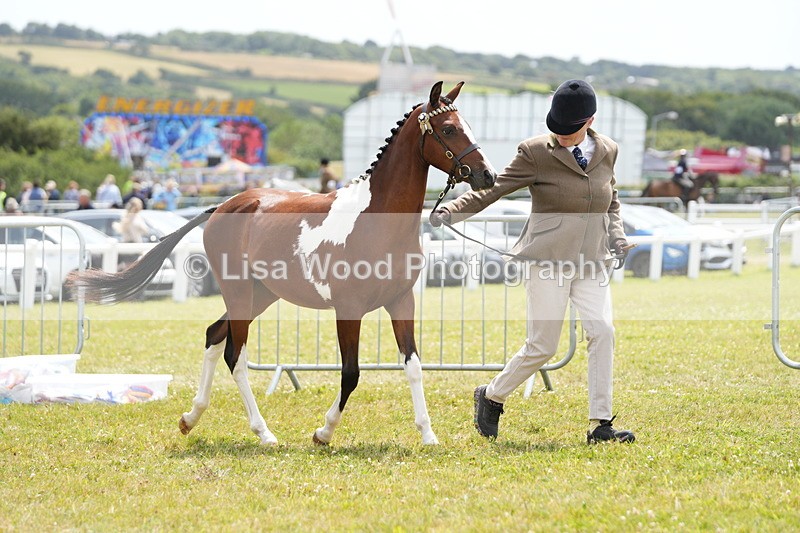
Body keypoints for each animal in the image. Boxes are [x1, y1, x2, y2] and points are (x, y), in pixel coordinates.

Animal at [68, 81, 497, 446]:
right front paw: (323, 432)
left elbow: (412, 366)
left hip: (261, 295)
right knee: (234, 356)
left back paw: (191, 418)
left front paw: (428, 435)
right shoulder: (349, 309)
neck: (376, 218)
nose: (487, 175)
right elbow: (351, 373)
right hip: (240, 293)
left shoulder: (401, 301)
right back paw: (263, 433)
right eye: (447, 129)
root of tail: (222, 206)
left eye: (467, 125)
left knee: (213, 336)